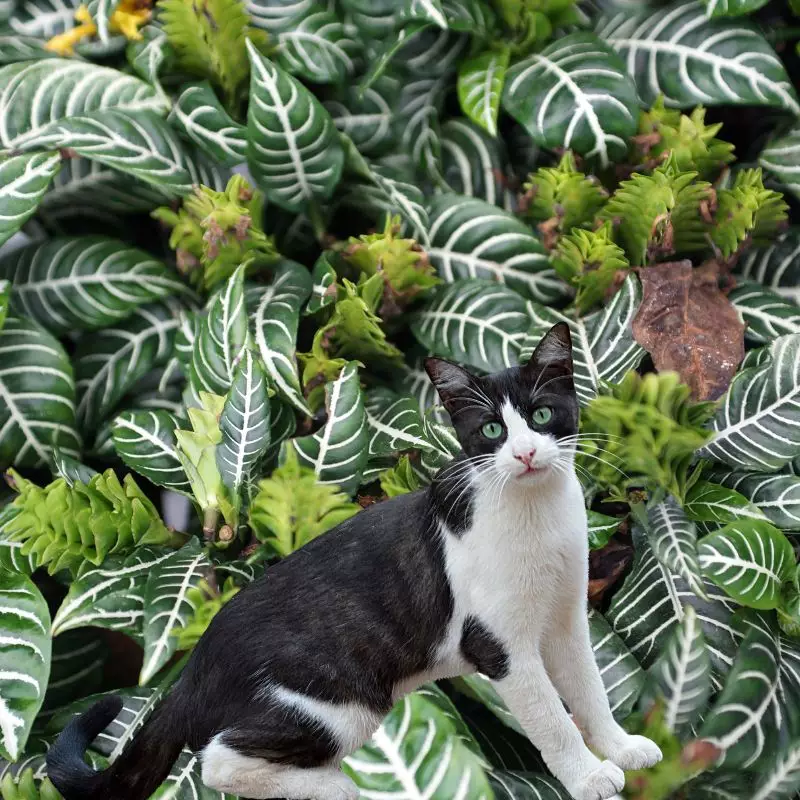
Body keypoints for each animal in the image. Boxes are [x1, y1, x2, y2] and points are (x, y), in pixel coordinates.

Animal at [45, 322, 664, 796]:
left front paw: (620, 748)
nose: (527, 453)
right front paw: (588, 778)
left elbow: (589, 688)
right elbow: (552, 719)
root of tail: (192, 673)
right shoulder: (497, 644)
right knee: (218, 761)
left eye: (540, 416)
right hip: (340, 701)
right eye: (491, 429)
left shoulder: (567, 619)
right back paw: (339, 786)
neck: (535, 514)